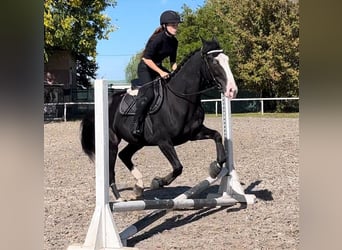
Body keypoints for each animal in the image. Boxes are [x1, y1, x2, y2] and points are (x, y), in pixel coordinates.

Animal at [80, 38, 238, 200]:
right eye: (214, 62)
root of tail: (108, 100)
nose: (232, 90)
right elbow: (178, 167)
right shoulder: (164, 141)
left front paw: (215, 167)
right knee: (111, 171)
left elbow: (217, 136)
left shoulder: (193, 133)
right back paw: (119, 198)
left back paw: (138, 187)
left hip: (137, 141)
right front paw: (158, 182)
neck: (180, 99)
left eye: (227, 59)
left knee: (124, 155)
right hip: (112, 142)